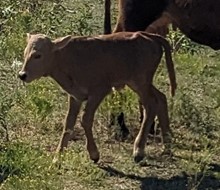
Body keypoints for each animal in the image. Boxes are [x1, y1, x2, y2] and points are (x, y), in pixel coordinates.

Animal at [18, 31, 177, 163]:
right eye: (25, 53)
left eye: (38, 55)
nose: (22, 75)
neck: (67, 58)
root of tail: (150, 36)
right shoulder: (75, 96)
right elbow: (68, 124)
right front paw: (58, 157)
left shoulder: (99, 92)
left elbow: (85, 120)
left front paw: (94, 154)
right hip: (142, 84)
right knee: (161, 98)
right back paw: (167, 145)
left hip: (140, 83)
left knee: (151, 105)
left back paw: (138, 151)